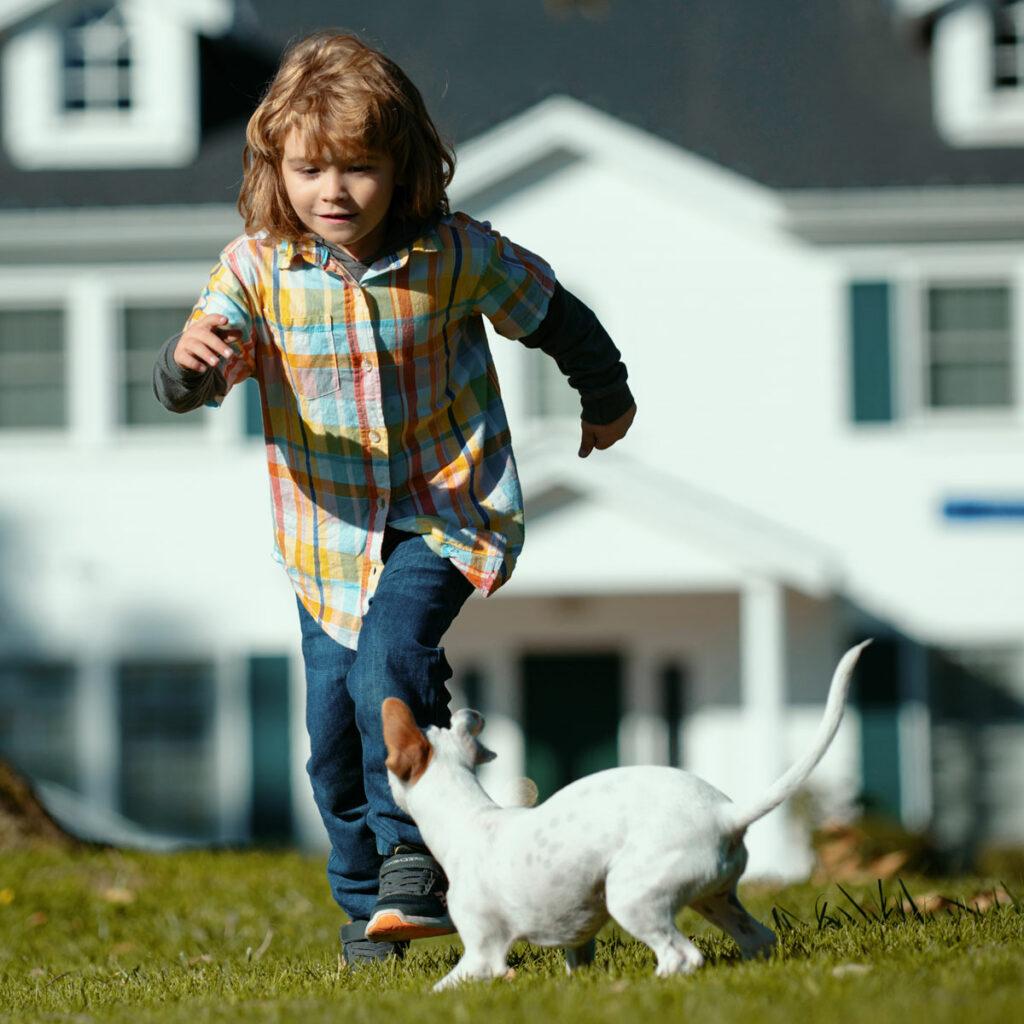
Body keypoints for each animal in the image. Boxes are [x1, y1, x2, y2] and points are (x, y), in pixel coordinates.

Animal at [380, 634, 868, 987]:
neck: (469, 817)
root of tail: (726, 815)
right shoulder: (578, 938)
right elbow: (576, 961)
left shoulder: (483, 953)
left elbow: (445, 986)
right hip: (714, 897)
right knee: (759, 939)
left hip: (633, 895)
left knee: (683, 955)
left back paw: (645, 986)